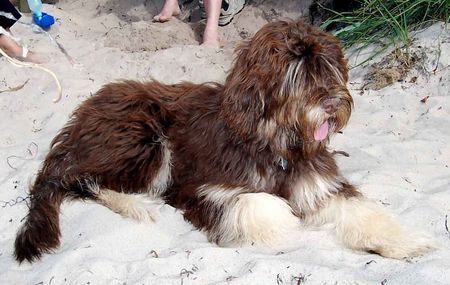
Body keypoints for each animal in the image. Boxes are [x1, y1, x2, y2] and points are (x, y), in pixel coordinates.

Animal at [14, 19, 436, 262]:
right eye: (296, 74)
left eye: (329, 67)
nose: (333, 104)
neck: (276, 144)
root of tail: (80, 116)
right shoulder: (201, 188)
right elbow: (259, 204)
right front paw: (287, 223)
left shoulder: (319, 183)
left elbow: (362, 209)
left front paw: (404, 241)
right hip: (141, 138)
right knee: (78, 180)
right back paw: (137, 205)